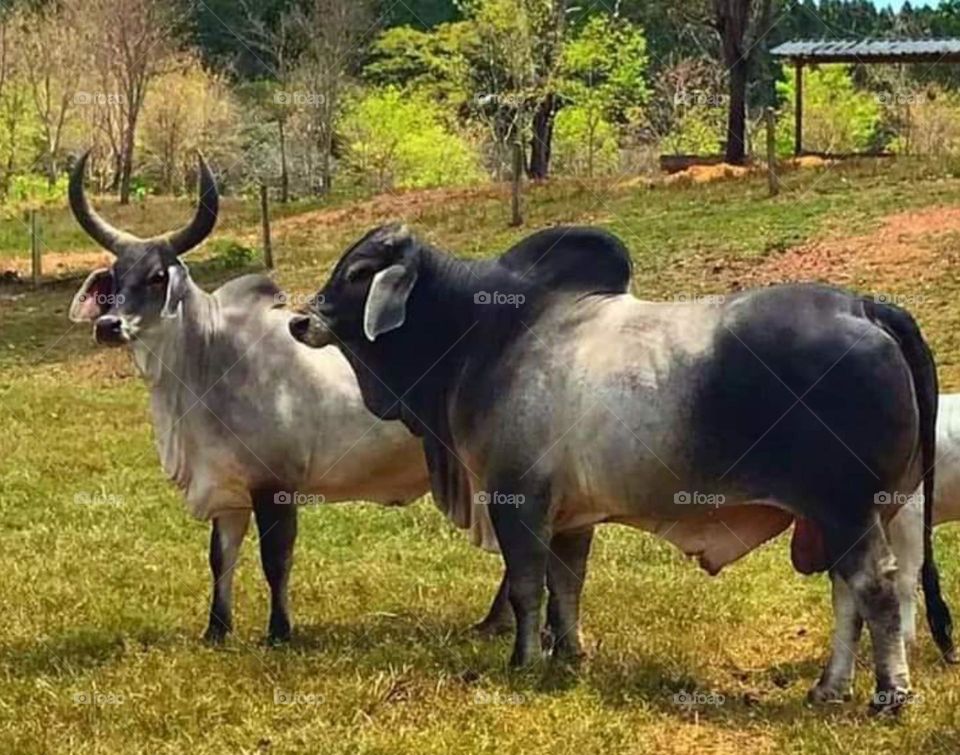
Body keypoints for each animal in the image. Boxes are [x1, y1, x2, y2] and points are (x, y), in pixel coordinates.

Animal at [289, 223, 954, 713]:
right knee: (848, 593)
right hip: (840, 516)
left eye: (357, 272)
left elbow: (527, 586)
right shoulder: (571, 518)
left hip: (847, 508)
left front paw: (524, 661)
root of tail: (864, 305)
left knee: (877, 587)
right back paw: (828, 688)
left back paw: (890, 694)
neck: (484, 336)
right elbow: (567, 585)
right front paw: (569, 655)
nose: (299, 320)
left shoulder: (516, 500)